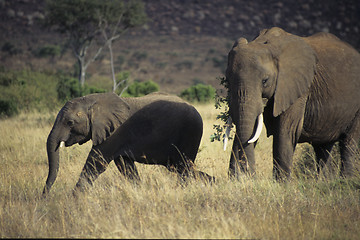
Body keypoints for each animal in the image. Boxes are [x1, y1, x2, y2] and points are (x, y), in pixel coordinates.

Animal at [44, 91, 215, 195]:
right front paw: (138, 191)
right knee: (180, 168)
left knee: (184, 167)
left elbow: (96, 162)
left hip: (190, 132)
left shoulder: (114, 132)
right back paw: (212, 181)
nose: (44, 197)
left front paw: (73, 200)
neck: (93, 100)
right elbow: (125, 166)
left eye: (70, 122)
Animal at [225, 27, 360, 180]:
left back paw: (346, 180)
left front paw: (281, 183)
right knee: (323, 146)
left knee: (348, 143)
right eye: (227, 80)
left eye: (265, 81)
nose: (249, 174)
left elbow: (286, 131)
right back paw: (326, 181)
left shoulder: (297, 87)